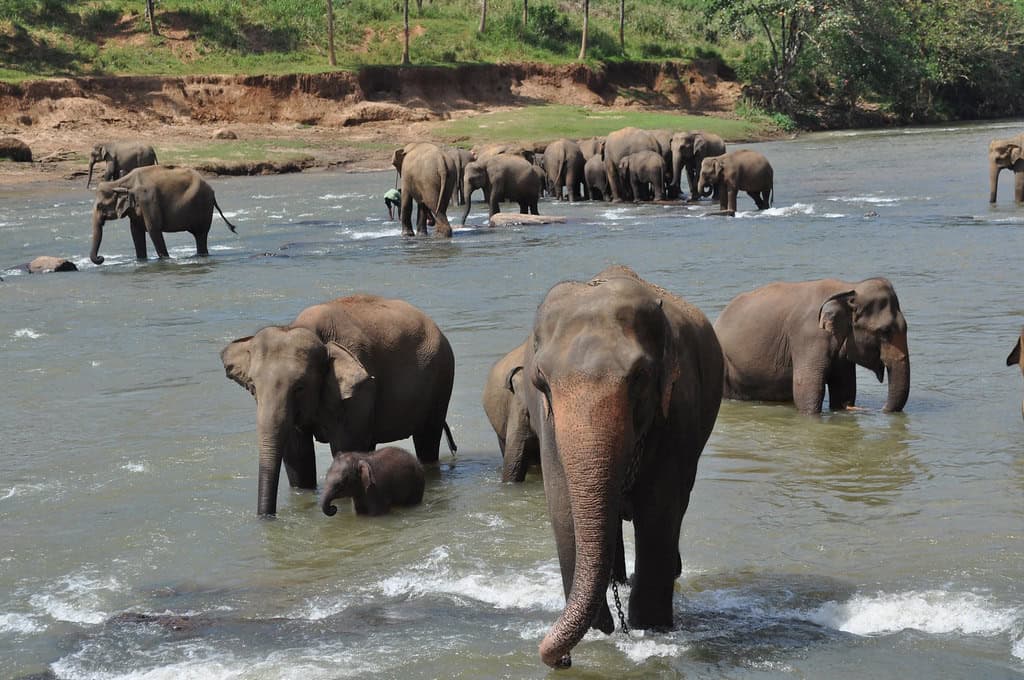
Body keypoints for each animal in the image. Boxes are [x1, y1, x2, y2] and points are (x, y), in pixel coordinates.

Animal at [89, 165, 237, 264]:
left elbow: (153, 229)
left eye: (100, 206)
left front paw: (165, 260)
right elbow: (135, 232)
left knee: (201, 234)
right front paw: (141, 262)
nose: (101, 258)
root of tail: (212, 190)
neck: (121, 182)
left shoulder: (148, 200)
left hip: (203, 206)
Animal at [220, 294, 457, 516]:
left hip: (441, 379)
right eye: (252, 386)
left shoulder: (358, 390)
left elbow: (344, 446)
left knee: (427, 440)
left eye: (300, 387)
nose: (267, 517)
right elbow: (297, 455)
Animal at [522, 264, 723, 668]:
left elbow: (659, 512)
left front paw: (650, 629)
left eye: (640, 377)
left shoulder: (677, 414)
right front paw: (603, 628)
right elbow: (561, 506)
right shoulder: (548, 425)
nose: (563, 660)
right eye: (541, 381)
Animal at [714, 278, 910, 415]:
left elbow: (843, 390)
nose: (881, 409)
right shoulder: (808, 336)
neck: (848, 289)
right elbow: (807, 388)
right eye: (884, 331)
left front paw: (843, 407)